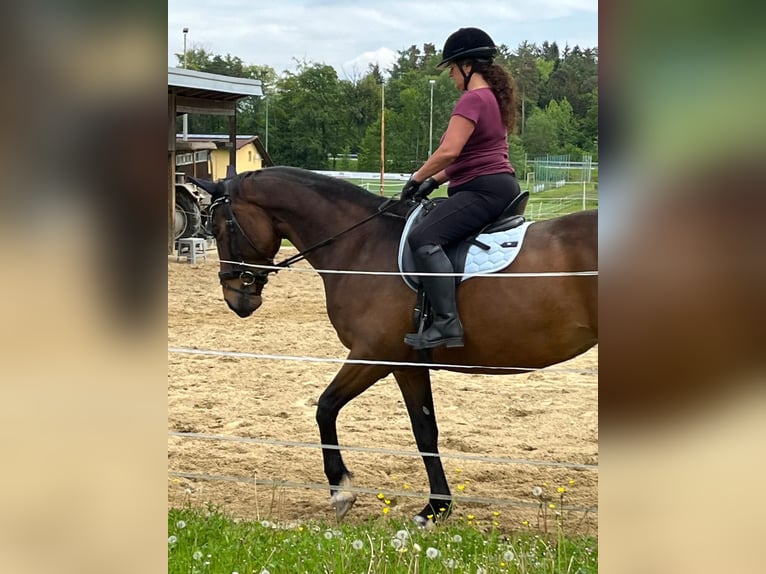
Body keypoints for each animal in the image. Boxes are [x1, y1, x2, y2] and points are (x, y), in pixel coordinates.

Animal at [190, 166, 598, 527]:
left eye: (220, 227)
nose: (236, 298)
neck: (361, 246)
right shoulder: (406, 364)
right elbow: (425, 430)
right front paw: (436, 508)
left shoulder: (374, 354)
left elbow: (325, 407)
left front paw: (342, 491)